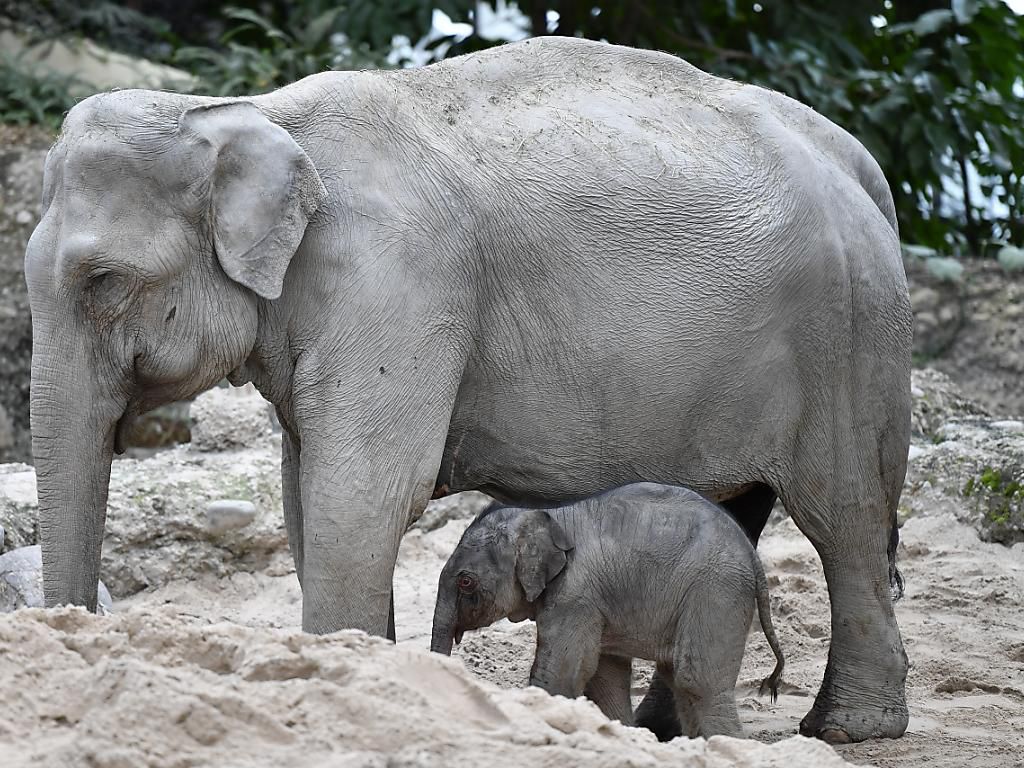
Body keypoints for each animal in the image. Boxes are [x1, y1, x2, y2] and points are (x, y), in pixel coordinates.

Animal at [430, 482, 786, 739]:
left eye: (465, 582)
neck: (548, 515)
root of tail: (753, 557)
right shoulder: (594, 602)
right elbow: (605, 675)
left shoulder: (576, 595)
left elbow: (565, 670)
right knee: (681, 682)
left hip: (716, 592)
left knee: (697, 681)